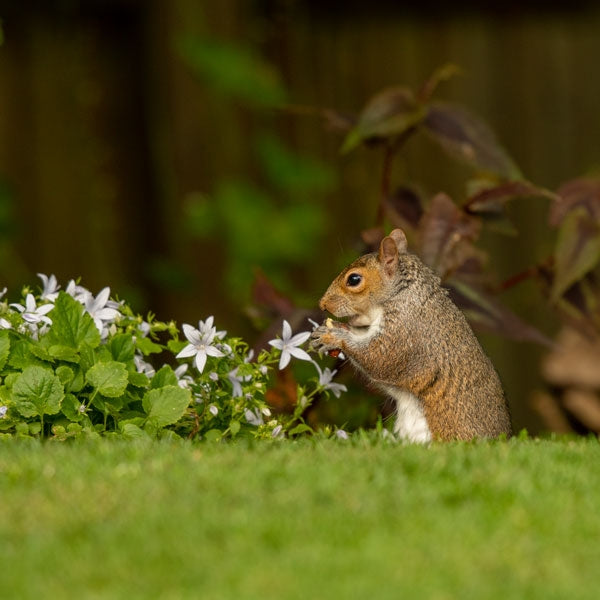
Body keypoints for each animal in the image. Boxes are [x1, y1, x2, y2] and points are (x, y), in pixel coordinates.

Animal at [312, 227, 512, 442]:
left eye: (354, 279)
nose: (322, 304)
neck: (402, 294)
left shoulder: (407, 332)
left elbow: (379, 358)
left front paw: (334, 335)